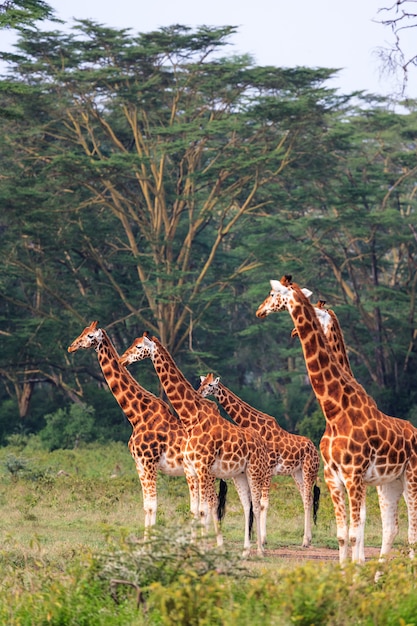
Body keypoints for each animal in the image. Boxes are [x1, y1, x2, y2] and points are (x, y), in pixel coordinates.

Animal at [68, 322, 226, 536]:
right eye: (82, 332)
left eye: (90, 335)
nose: (71, 347)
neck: (137, 415)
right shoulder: (139, 464)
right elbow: (146, 506)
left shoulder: (149, 462)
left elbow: (153, 505)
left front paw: (149, 540)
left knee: (209, 504)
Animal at [118, 332, 272, 556]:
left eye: (139, 347)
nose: (122, 359)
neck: (192, 419)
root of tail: (261, 441)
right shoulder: (192, 469)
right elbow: (196, 509)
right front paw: (195, 547)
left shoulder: (203, 468)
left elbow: (206, 507)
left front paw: (209, 548)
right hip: (239, 475)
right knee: (247, 505)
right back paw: (245, 550)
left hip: (255, 471)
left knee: (257, 504)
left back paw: (260, 549)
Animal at [197, 370, 320, 544]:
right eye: (201, 382)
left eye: (210, 384)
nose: (199, 393)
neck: (255, 426)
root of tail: (315, 450)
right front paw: (256, 537)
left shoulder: (267, 469)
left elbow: (263, 503)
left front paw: (262, 539)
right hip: (297, 473)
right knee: (306, 498)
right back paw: (307, 539)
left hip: (310, 470)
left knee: (308, 499)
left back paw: (305, 541)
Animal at [255, 276, 416, 564]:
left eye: (272, 294)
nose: (259, 311)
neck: (334, 410)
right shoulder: (334, 477)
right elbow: (344, 534)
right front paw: (349, 567)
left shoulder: (354, 476)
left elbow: (355, 531)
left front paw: (357, 565)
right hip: (389, 483)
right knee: (391, 528)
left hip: (410, 477)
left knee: (410, 530)